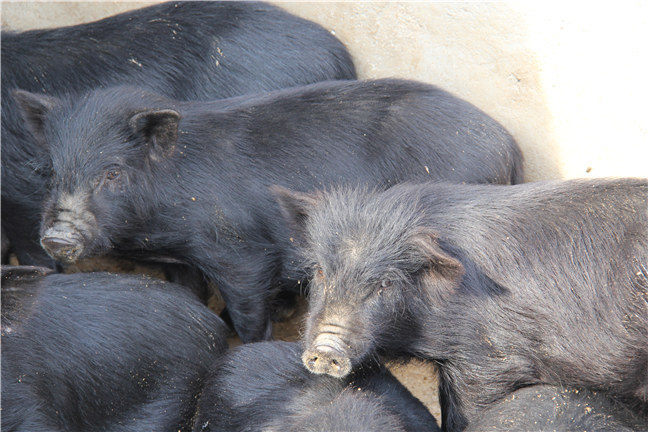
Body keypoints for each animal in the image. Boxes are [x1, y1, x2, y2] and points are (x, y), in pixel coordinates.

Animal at [13, 77, 520, 340]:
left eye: (113, 173)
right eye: (50, 169)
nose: (57, 236)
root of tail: (509, 145)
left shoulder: (241, 252)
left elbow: (248, 310)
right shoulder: (181, 258)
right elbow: (187, 293)